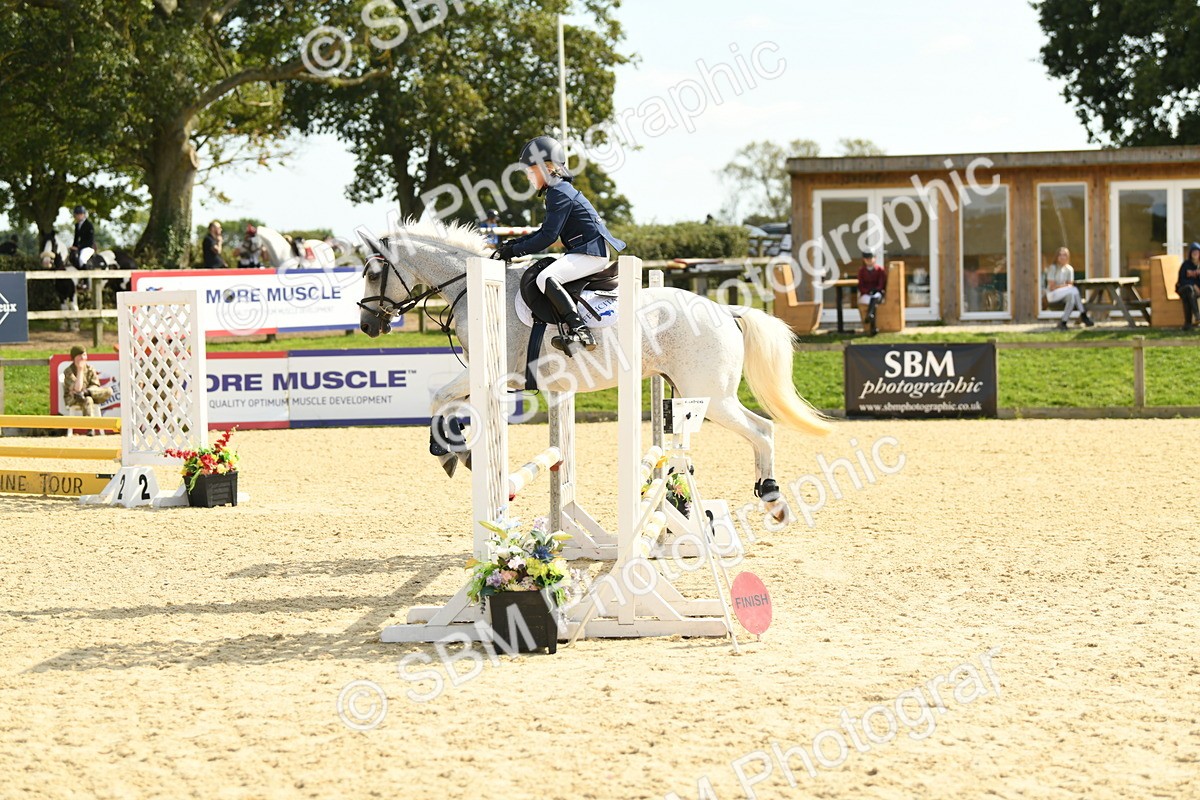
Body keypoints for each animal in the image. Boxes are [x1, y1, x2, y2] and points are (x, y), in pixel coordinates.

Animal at [356, 220, 832, 523]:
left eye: (374, 273)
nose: (367, 325)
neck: (469, 286)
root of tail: (725, 309)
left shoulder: (501, 376)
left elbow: (439, 397)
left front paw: (448, 451)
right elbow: (448, 403)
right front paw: (458, 451)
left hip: (712, 398)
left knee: (762, 430)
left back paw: (772, 497)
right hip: (696, 395)